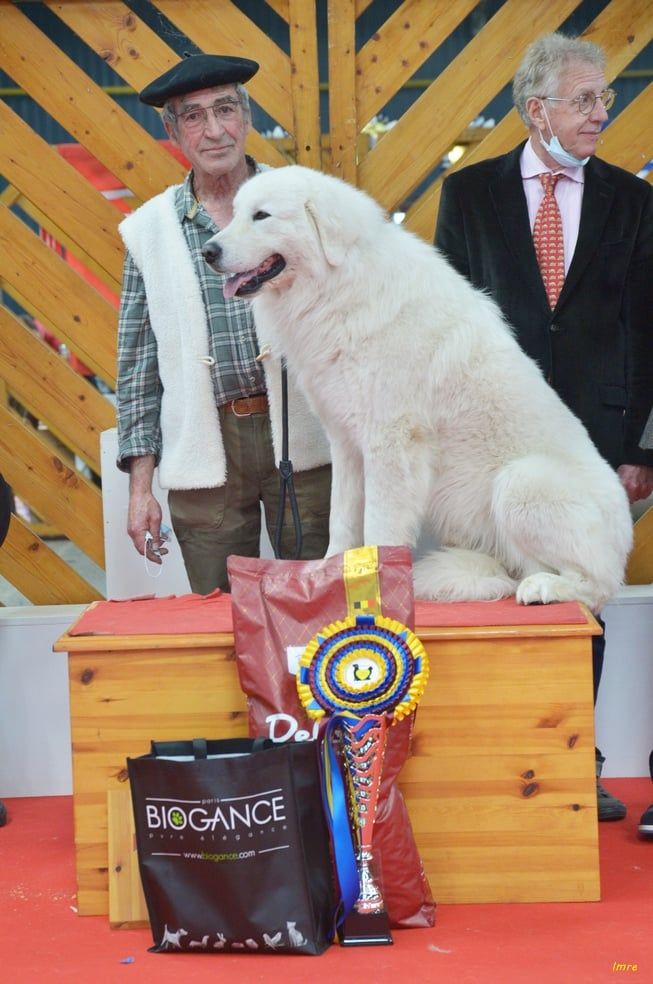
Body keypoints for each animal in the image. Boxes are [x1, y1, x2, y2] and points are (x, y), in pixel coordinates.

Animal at [204, 165, 632, 612]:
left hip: (521, 482)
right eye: (236, 213)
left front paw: (373, 592)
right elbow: (342, 518)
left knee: (597, 584)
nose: (208, 252)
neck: (340, 287)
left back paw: (544, 588)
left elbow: (378, 524)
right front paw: (329, 576)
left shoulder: (390, 441)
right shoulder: (346, 443)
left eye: (262, 216)